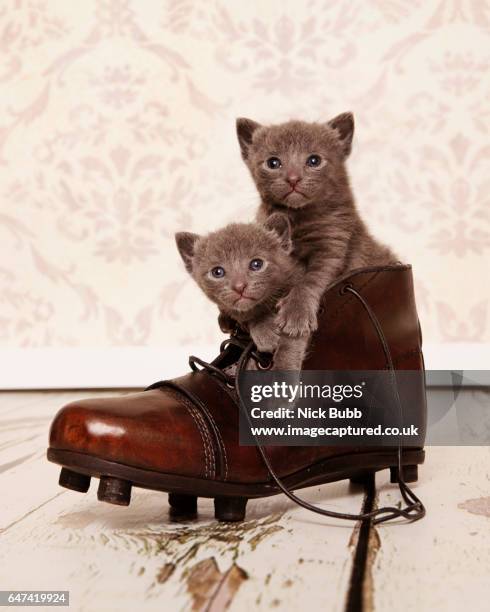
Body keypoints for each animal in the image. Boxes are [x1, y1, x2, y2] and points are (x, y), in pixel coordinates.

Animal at [175, 213, 306, 370]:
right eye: (217, 272)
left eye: (256, 264)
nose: (239, 286)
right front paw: (263, 330)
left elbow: (291, 342)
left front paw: (283, 367)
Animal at [235, 112, 396, 338]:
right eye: (273, 162)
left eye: (314, 160)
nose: (293, 178)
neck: (296, 217)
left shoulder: (332, 247)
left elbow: (310, 279)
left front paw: (295, 313)